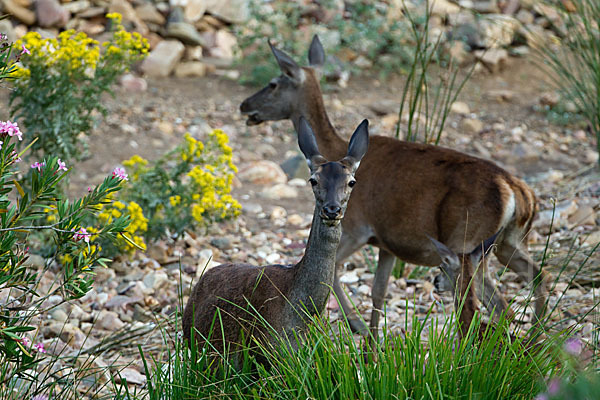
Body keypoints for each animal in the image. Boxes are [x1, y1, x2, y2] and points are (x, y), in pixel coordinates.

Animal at [239, 36, 548, 340]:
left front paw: (358, 326)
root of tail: (519, 192)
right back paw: (536, 337)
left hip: (467, 242)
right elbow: (378, 291)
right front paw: (373, 338)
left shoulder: (358, 227)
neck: (335, 148)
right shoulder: (387, 243)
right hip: (508, 242)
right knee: (535, 277)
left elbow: (337, 271)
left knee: (494, 302)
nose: (244, 105)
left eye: (273, 83)